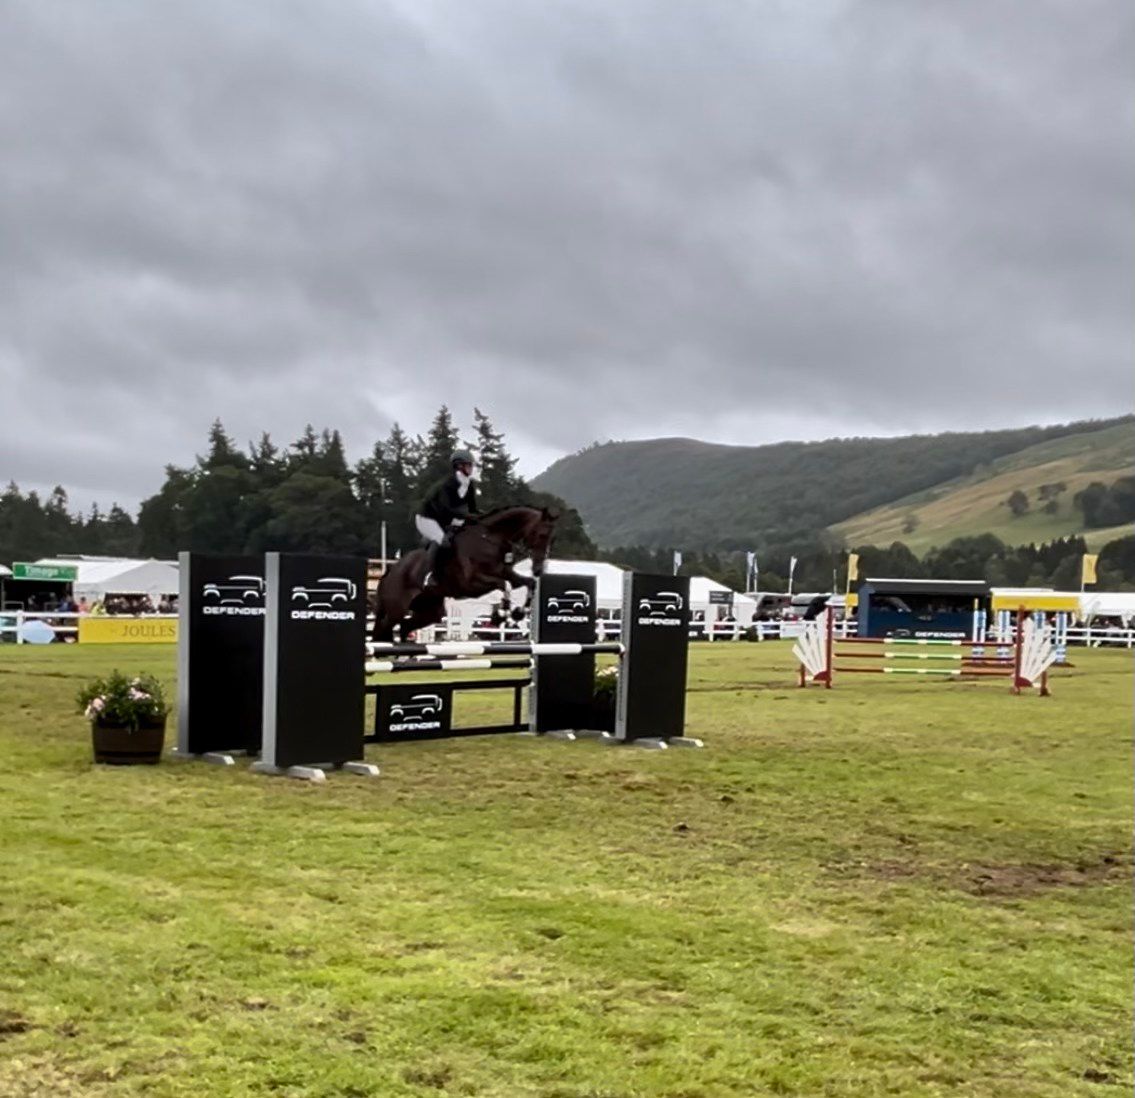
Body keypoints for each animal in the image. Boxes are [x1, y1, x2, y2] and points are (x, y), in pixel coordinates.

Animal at [370, 506, 560, 644]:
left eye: (552, 539)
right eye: (542, 534)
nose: (538, 569)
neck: (489, 538)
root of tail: (390, 571)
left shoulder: (506, 573)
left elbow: (528, 583)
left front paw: (519, 612)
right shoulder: (472, 583)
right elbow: (503, 585)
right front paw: (501, 614)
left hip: (430, 611)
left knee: (405, 626)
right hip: (397, 609)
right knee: (384, 629)